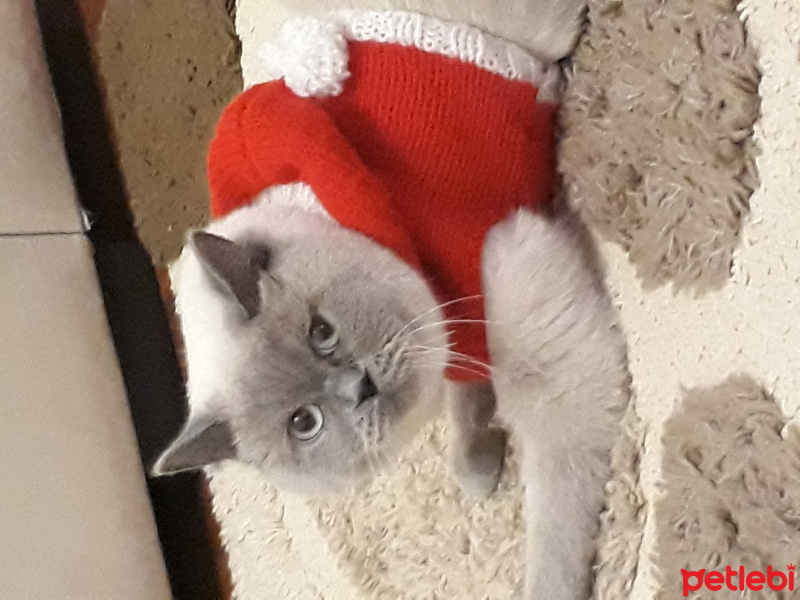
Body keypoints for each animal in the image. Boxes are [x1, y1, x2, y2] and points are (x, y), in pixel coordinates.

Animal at [155, 2, 632, 596]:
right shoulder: (457, 344)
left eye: (321, 332)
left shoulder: (520, 318)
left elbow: (554, 525)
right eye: (304, 423)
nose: (358, 388)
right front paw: (482, 471)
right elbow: (469, 414)